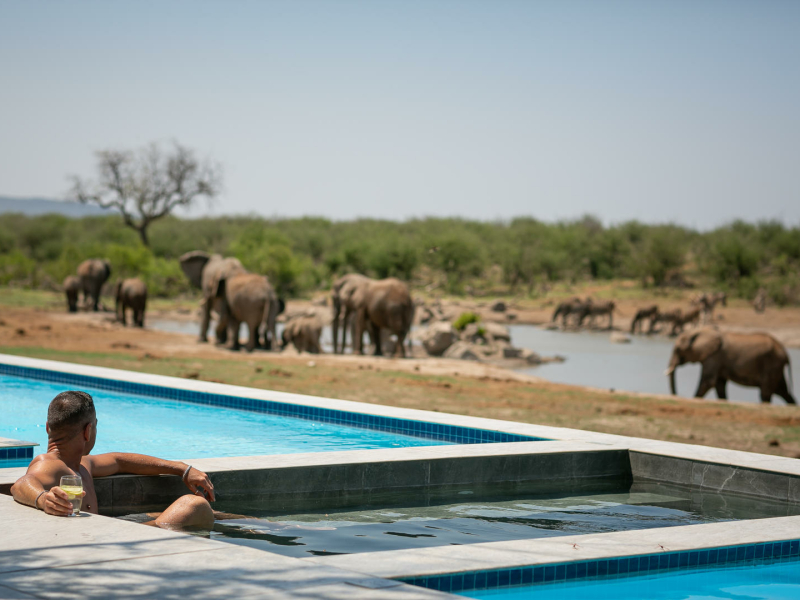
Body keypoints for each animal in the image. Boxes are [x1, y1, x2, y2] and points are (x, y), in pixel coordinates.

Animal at [664, 330, 792, 406]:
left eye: (678, 350)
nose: (676, 395)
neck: (699, 332)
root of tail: (785, 353)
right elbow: (719, 385)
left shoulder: (714, 357)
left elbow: (708, 382)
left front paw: (695, 399)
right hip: (776, 367)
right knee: (784, 392)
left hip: (771, 364)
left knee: (766, 393)